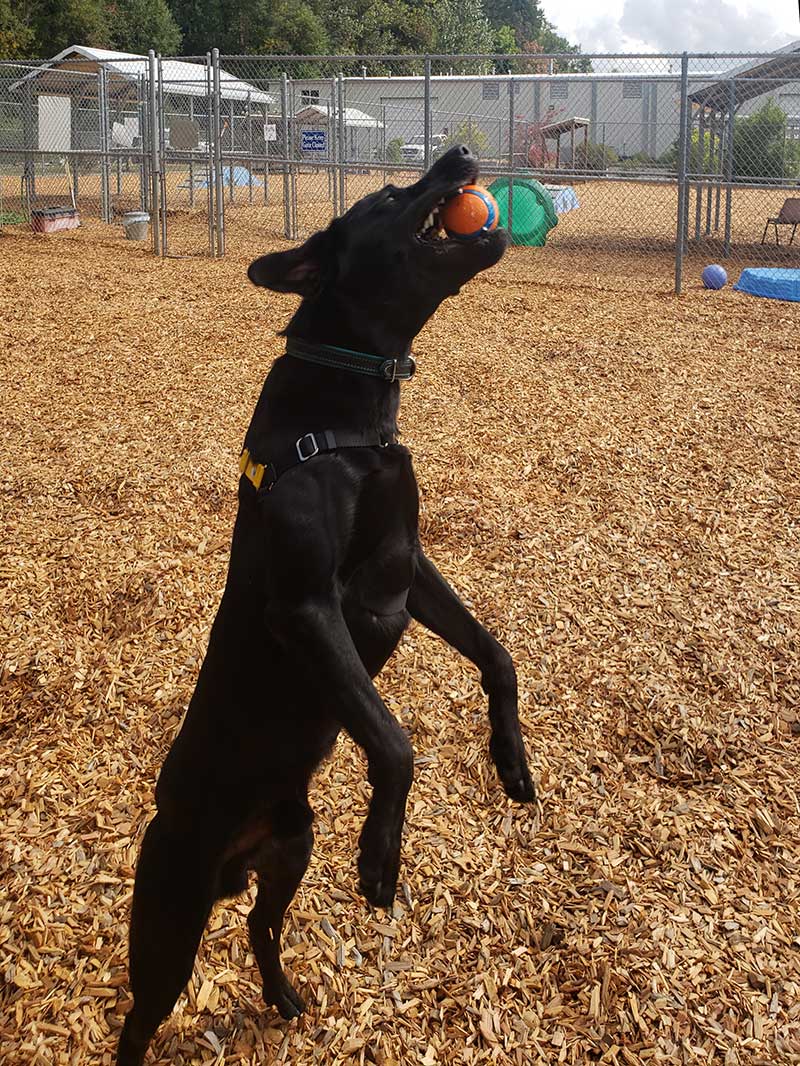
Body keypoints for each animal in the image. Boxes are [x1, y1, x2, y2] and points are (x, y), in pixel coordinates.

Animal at [115, 148, 535, 1066]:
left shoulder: (407, 575)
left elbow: (497, 655)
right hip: (168, 919)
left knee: (259, 930)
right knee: (140, 1017)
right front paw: (381, 855)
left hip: (290, 854)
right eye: (387, 196)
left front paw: (512, 761)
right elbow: (394, 739)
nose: (458, 155)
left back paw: (283, 996)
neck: (352, 418)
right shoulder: (309, 611)